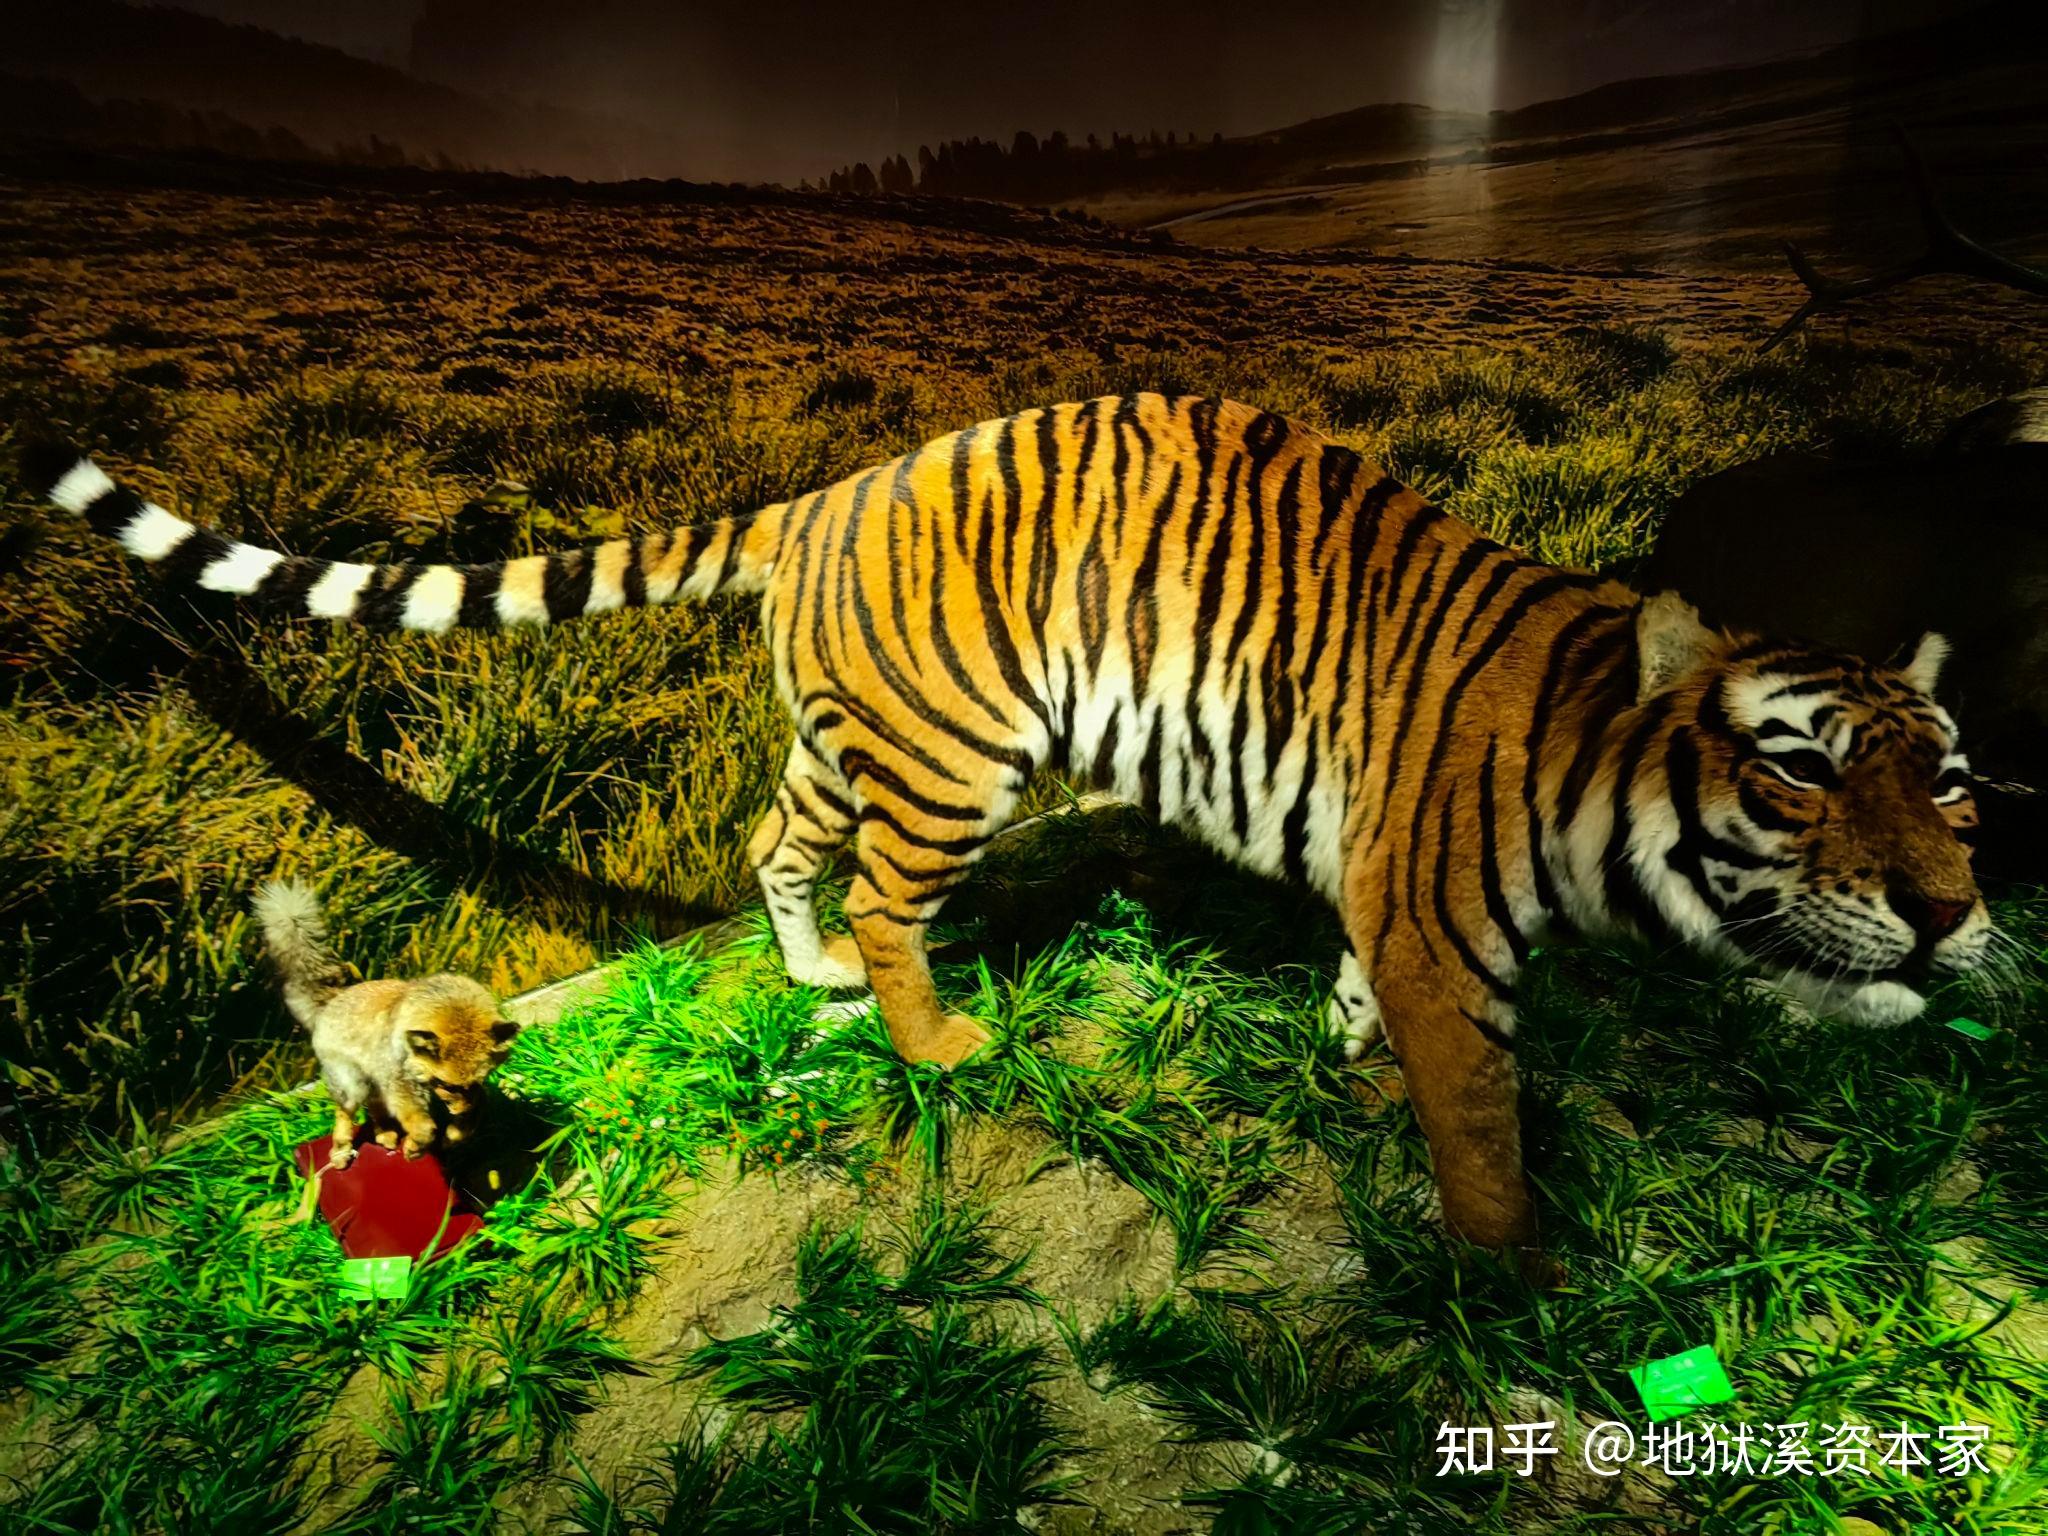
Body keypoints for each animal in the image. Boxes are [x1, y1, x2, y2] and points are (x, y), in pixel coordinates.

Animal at [21, 392, 1994, 1265]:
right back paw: (929, 1036)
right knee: (901, 911)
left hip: (847, 739)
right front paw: (1510, 1279)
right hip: (952, 761)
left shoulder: (1387, 898)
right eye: (1801, 769)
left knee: (772, 845)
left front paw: (1352, 1063)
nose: (1954, 914)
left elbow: (1374, 1007)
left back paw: (808, 970)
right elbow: (1485, 1126)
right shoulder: (1446, 930)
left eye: (1955, 778)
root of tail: (830, 487)